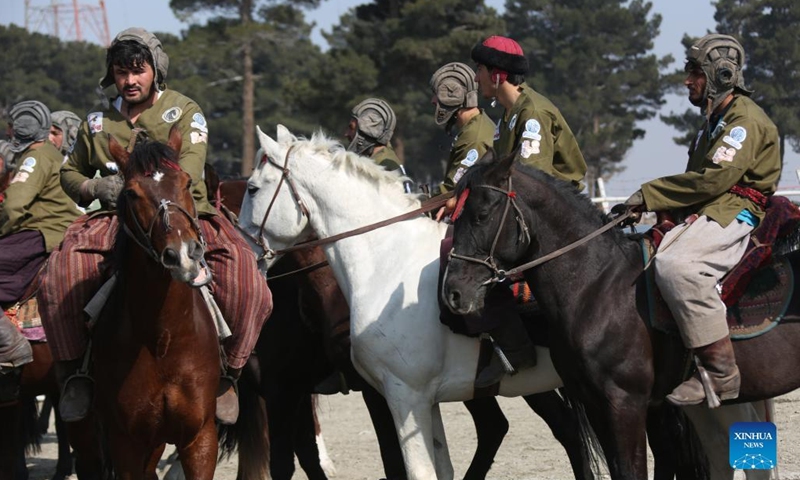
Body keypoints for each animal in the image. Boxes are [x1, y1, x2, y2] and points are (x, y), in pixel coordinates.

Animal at [90, 129, 219, 478]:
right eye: (132, 193)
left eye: (187, 182)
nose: (184, 254)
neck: (164, 338)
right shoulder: (127, 443)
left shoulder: (200, 437)